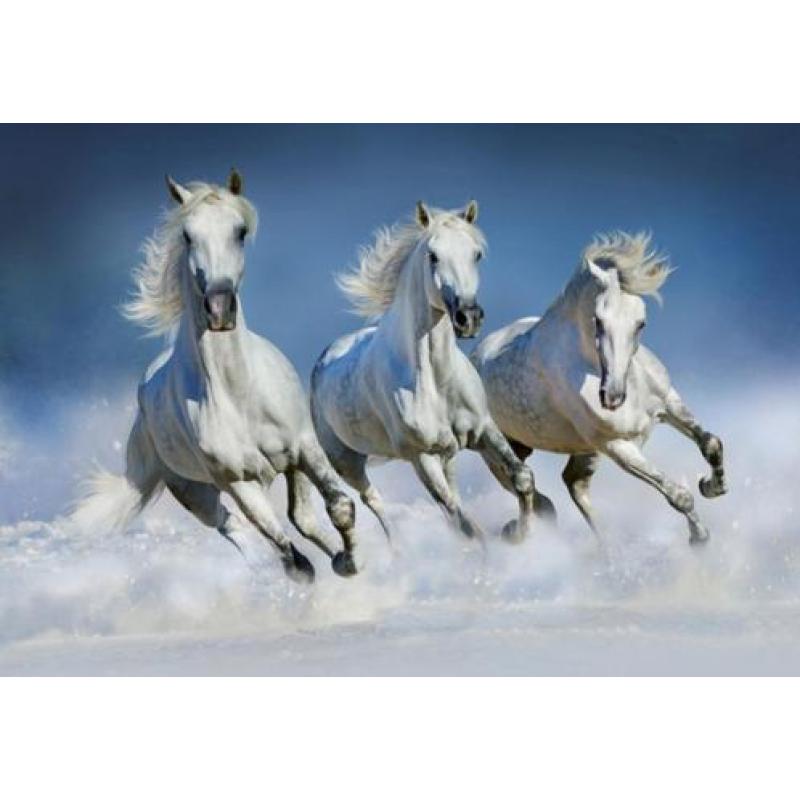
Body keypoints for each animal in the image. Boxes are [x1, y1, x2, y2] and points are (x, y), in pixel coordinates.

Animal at [71, 170, 360, 583]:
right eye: (187, 235)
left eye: (239, 231)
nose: (220, 308)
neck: (239, 394)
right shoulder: (238, 481)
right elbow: (288, 553)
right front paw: (321, 567)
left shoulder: (304, 447)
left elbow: (339, 507)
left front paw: (350, 562)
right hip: (195, 493)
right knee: (233, 525)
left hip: (289, 465)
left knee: (301, 516)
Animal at [310, 201, 549, 547]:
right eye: (433, 255)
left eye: (476, 254)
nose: (468, 317)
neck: (436, 380)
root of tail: (325, 357)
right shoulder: (420, 456)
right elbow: (460, 519)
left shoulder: (484, 430)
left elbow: (522, 478)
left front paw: (521, 534)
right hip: (347, 462)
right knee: (374, 500)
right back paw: (397, 550)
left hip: (447, 454)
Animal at [473, 231, 727, 546]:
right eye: (598, 320)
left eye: (641, 323)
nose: (612, 397)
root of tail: (477, 354)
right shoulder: (616, 446)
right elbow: (678, 495)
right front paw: (699, 538)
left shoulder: (669, 404)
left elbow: (711, 443)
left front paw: (712, 486)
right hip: (500, 450)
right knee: (526, 485)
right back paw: (520, 532)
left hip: (584, 451)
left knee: (573, 483)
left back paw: (606, 546)